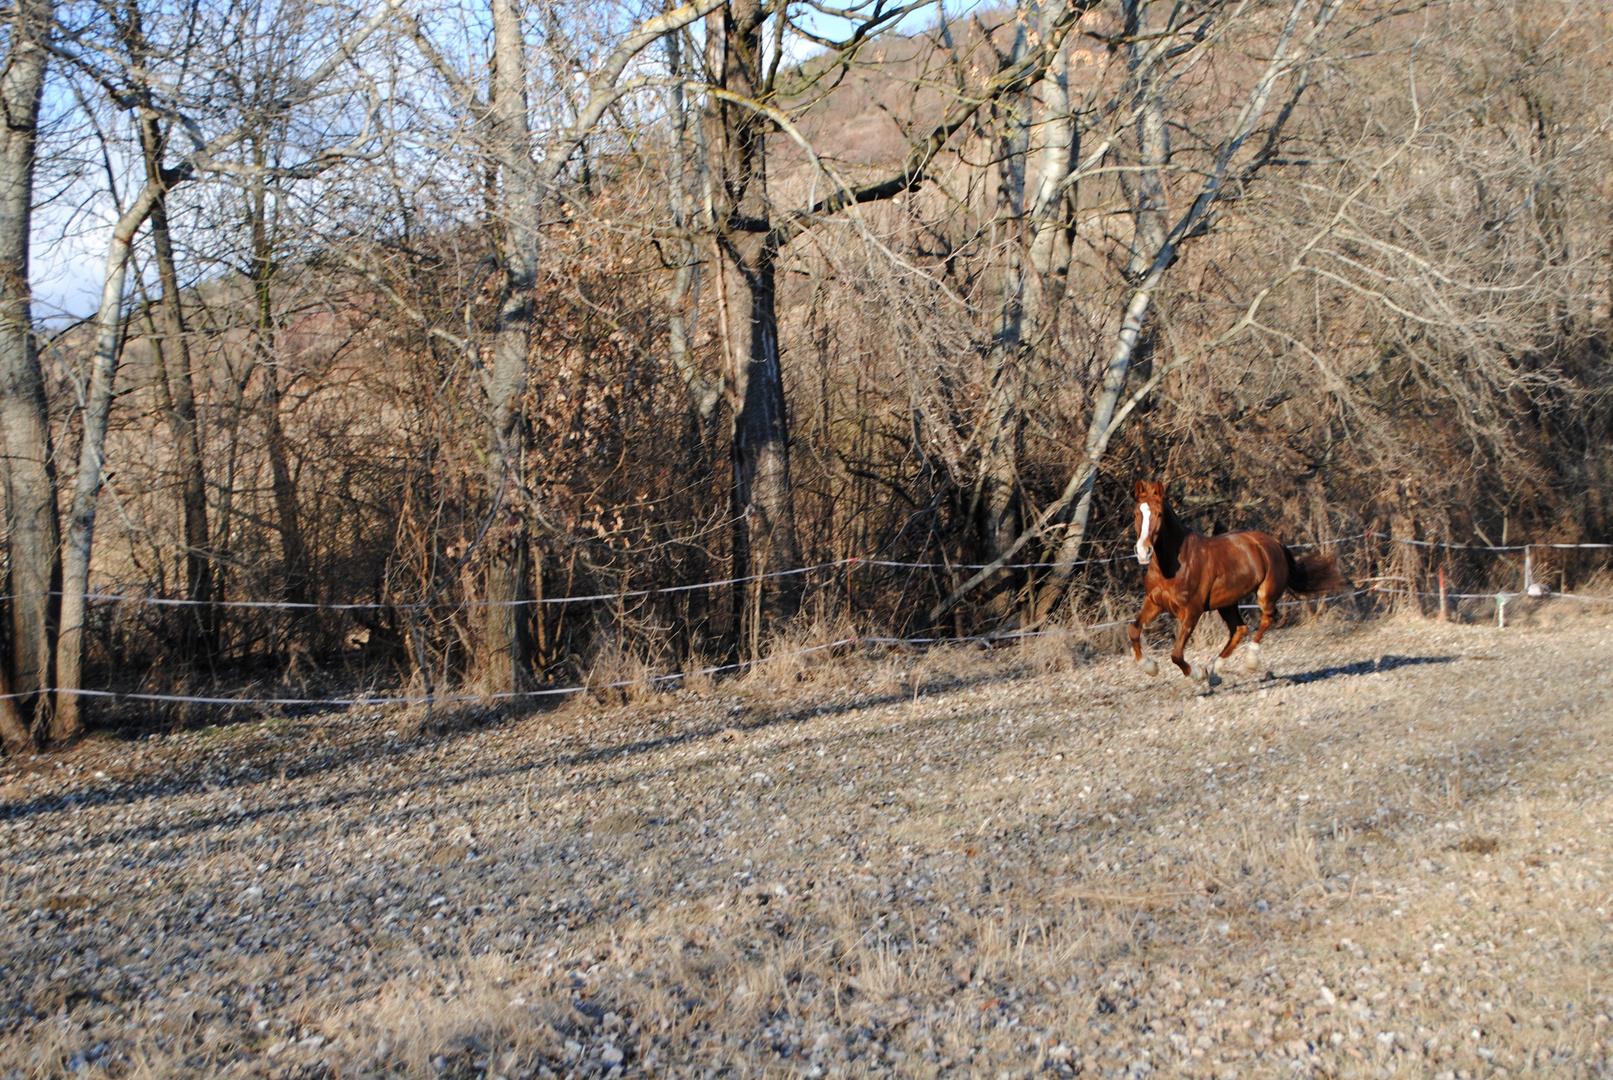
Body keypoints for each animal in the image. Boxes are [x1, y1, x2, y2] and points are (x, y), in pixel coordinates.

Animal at [1135, 483, 1348, 686]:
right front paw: (1150, 667)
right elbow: (1134, 629)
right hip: (1226, 603)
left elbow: (1176, 655)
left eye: (1159, 514)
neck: (1174, 563)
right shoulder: (1154, 602)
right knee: (1239, 629)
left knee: (1267, 618)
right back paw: (1216, 672)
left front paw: (1199, 673)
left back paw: (1249, 661)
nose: (1143, 552)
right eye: (1137, 512)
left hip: (1264, 594)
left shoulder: (1191, 611)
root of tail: (1274, 542)